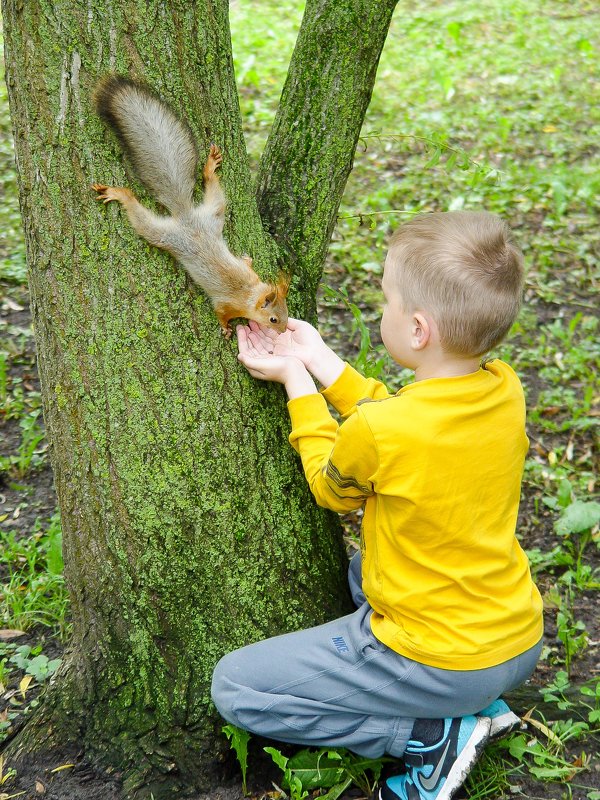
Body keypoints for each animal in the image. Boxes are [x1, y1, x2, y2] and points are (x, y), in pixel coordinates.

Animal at [91, 73, 290, 336]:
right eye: (273, 319)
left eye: (286, 311)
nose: (284, 331)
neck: (249, 293)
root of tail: (186, 216)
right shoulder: (225, 303)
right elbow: (220, 313)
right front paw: (226, 329)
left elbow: (246, 265)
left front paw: (247, 260)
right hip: (164, 235)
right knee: (140, 218)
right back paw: (119, 194)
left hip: (214, 212)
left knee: (213, 190)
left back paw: (210, 168)